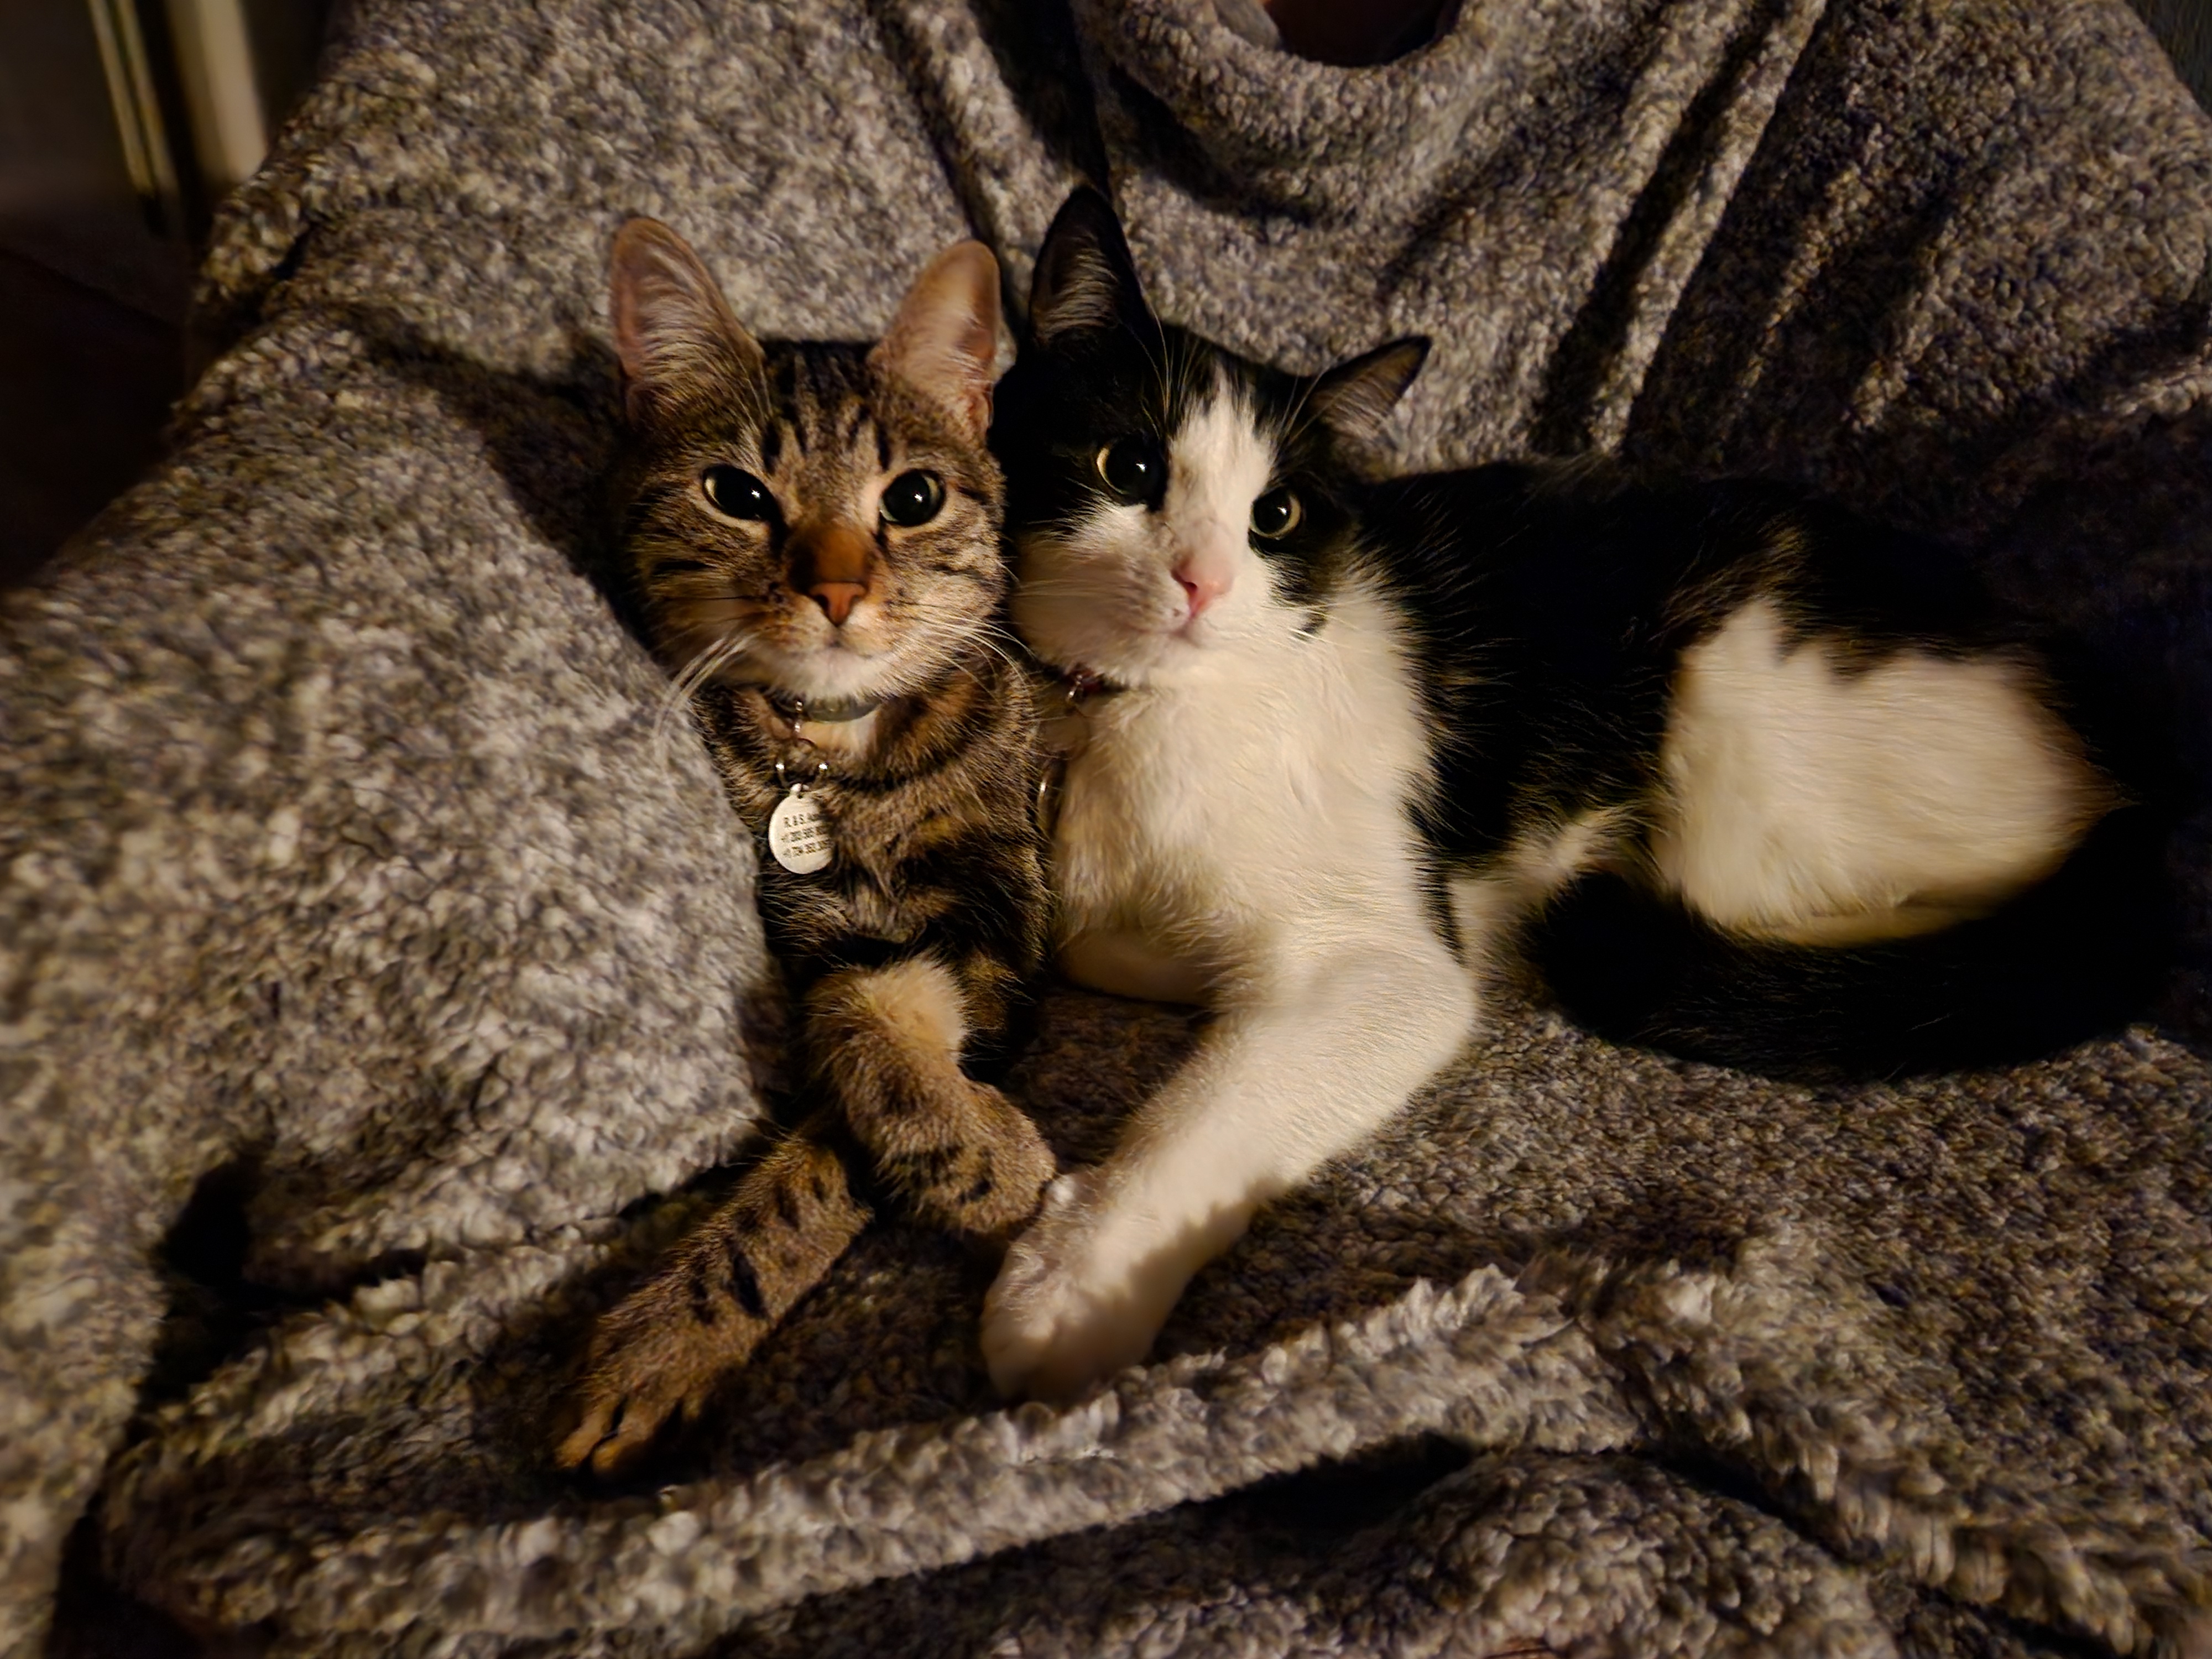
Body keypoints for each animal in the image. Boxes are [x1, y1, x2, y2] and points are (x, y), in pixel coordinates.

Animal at [556, 219, 1056, 1476]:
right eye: (736, 493)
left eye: (914, 496)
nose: (834, 586)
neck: (847, 763)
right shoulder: (817, 928)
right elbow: (856, 1034)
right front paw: (667, 1333)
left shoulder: (999, 924)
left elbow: (835, 1143)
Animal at [980, 187, 2168, 1403]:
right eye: (1128, 468)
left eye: (1274, 518)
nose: (1203, 580)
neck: (1119, 712)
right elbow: (1099, 937)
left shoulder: (1384, 962)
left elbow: (1219, 1107)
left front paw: (1081, 1279)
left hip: (1734, 721)